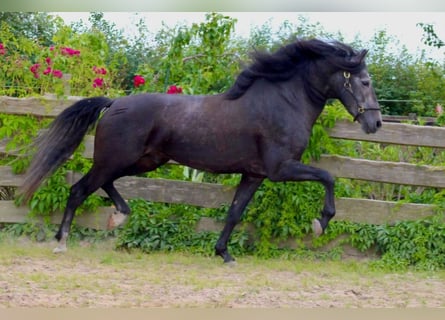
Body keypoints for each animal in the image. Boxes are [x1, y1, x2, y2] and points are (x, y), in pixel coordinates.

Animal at [20, 38, 382, 262]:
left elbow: (235, 213)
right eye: (364, 82)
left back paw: (117, 217)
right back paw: (62, 241)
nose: (375, 123)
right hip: (116, 159)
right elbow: (328, 177)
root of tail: (114, 103)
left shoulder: (255, 174)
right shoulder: (281, 169)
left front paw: (224, 254)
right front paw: (320, 223)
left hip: (143, 161)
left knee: (103, 185)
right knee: (79, 189)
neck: (283, 102)